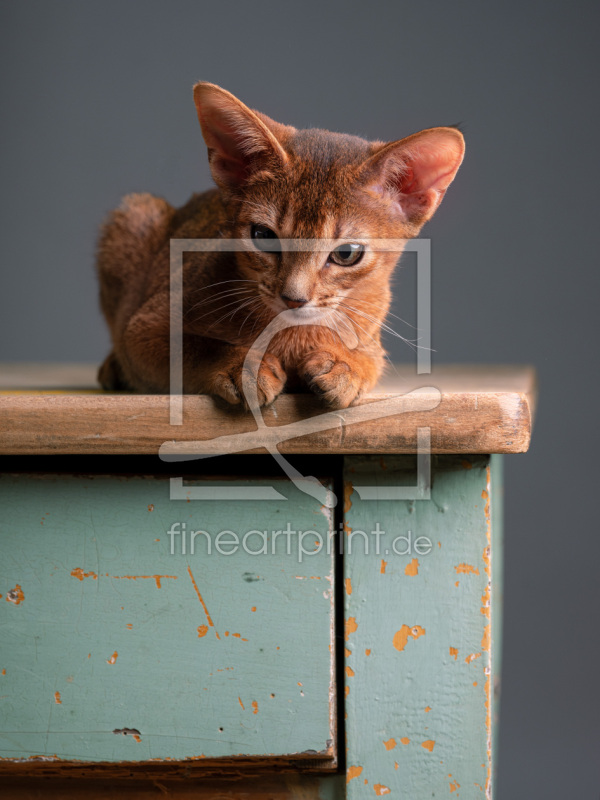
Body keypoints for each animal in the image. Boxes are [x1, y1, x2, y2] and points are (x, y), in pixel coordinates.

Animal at [98, 84, 464, 410]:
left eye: (346, 254)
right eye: (264, 235)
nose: (294, 298)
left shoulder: (373, 335)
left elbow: (372, 359)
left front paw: (346, 366)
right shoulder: (143, 328)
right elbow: (193, 347)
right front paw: (243, 364)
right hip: (136, 214)